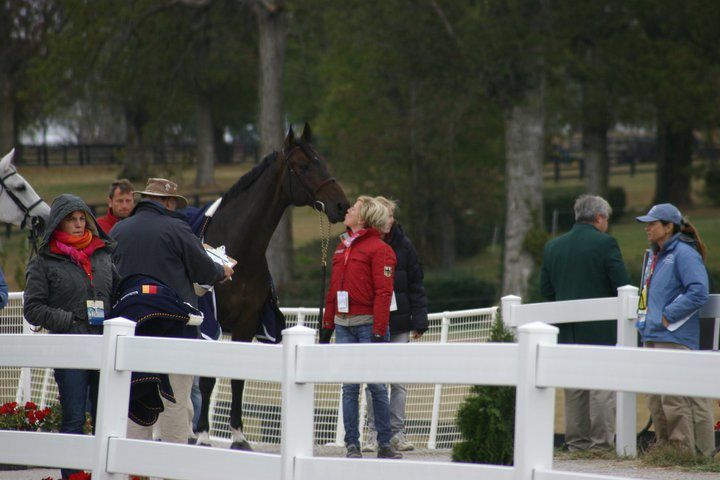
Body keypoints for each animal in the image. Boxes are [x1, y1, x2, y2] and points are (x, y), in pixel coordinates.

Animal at [194, 124, 346, 450]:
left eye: (323, 161)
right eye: (304, 166)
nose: (342, 205)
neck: (238, 249)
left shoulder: (246, 322)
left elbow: (237, 378)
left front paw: (239, 436)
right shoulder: (210, 324)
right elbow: (208, 377)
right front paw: (202, 435)